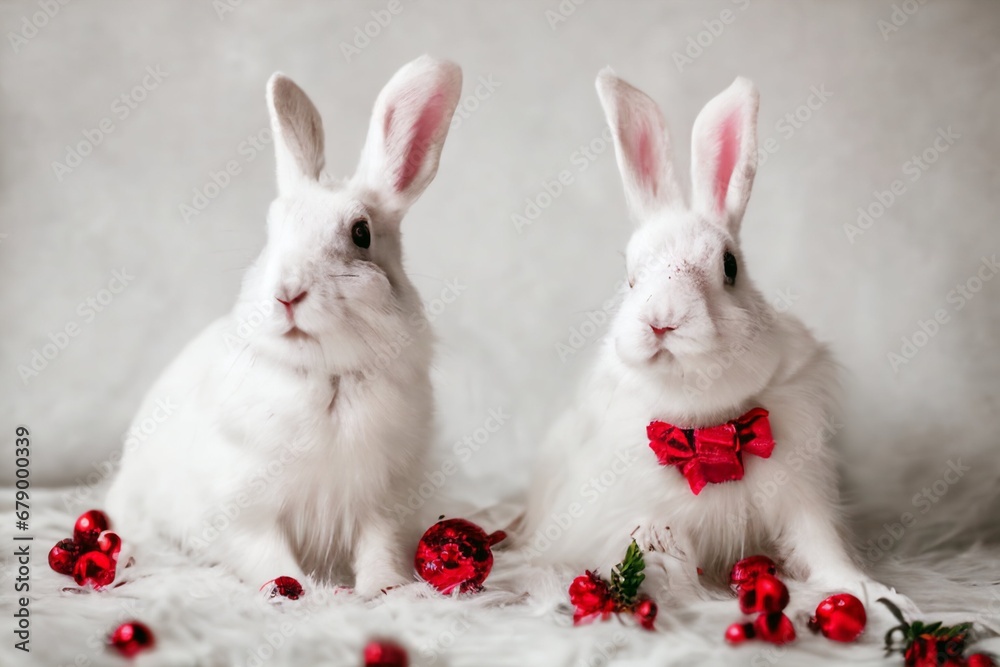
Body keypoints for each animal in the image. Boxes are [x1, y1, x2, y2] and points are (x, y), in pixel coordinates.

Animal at [104, 56, 462, 596]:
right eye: (271, 233)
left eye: (361, 234)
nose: (286, 294)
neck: (326, 377)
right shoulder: (244, 512)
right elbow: (267, 556)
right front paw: (294, 591)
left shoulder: (382, 505)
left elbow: (378, 547)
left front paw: (383, 588)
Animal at [519, 69, 911, 610]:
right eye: (629, 278)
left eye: (729, 266)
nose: (662, 320)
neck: (707, 427)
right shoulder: (649, 520)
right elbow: (666, 565)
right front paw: (683, 603)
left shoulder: (802, 497)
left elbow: (823, 550)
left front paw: (874, 592)